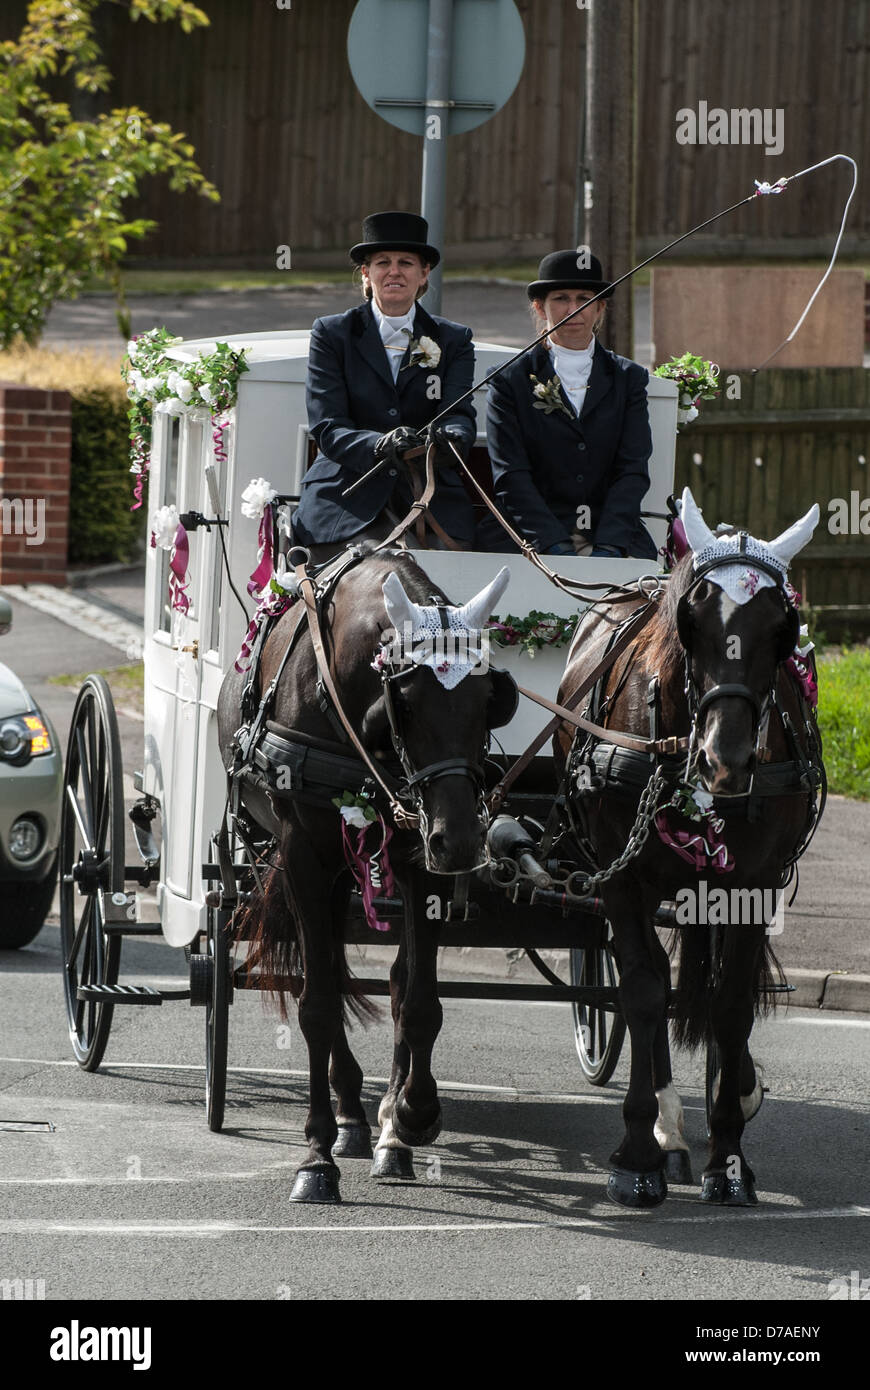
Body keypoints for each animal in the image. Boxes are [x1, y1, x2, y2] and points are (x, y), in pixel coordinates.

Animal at [216, 547, 514, 1200]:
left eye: (487, 699)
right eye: (407, 702)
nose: (461, 841)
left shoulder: (420, 861)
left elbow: (418, 999)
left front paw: (410, 1117)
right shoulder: (303, 855)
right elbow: (317, 1005)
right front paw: (315, 1159)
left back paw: (371, 1123)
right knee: (320, 974)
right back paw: (346, 1118)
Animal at [555, 494, 817, 1212]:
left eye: (782, 627)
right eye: (692, 619)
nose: (725, 761)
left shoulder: (754, 883)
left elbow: (729, 1008)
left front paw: (728, 1159)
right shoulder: (621, 880)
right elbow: (644, 995)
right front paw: (637, 1155)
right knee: (649, 990)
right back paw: (667, 1131)